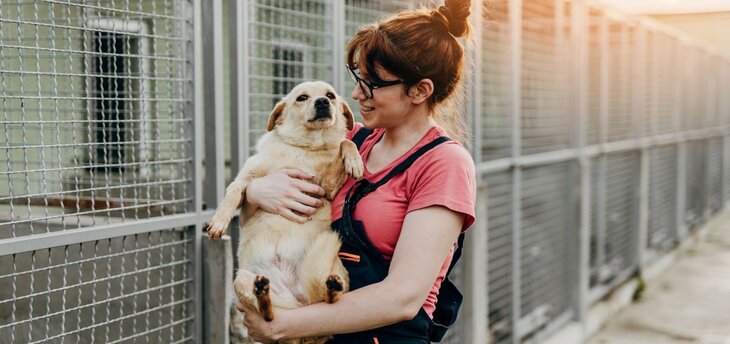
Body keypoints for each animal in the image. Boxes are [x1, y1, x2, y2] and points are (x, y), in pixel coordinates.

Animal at [205, 81, 364, 344]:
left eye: (330, 95)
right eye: (302, 98)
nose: (323, 102)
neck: (305, 149)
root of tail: (302, 304)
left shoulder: (327, 187)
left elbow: (345, 143)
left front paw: (355, 160)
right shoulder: (248, 177)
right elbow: (233, 191)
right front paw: (219, 221)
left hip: (337, 269)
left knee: (327, 301)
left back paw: (331, 288)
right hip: (241, 279)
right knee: (270, 316)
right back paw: (263, 295)